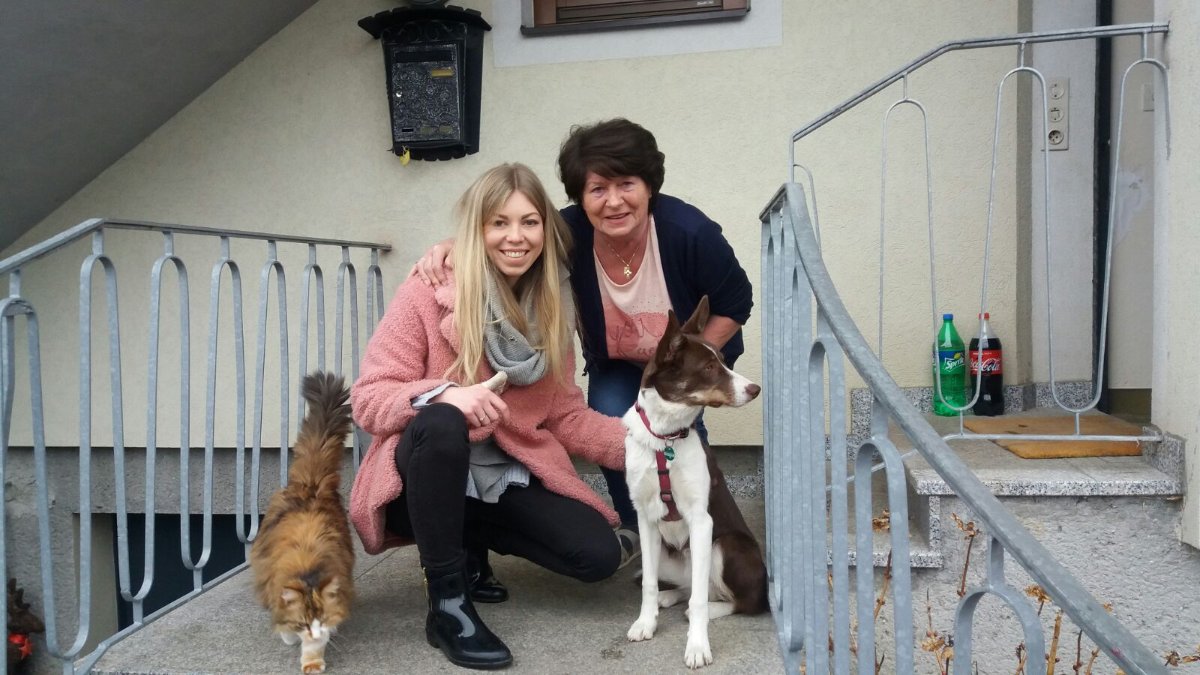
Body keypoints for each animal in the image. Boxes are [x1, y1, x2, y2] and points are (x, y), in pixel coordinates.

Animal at [250, 372, 355, 674]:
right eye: (304, 622)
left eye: (322, 620)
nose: (317, 631)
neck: (307, 567)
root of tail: (310, 485)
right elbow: (283, 622)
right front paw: (288, 636)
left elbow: (314, 646)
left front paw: (312, 662)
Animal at [623, 296, 768, 669]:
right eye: (709, 368)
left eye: (725, 361)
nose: (755, 389)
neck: (664, 439)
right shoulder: (645, 518)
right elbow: (648, 584)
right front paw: (645, 622)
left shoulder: (702, 522)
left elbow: (700, 601)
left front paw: (697, 647)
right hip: (667, 555)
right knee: (685, 585)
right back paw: (668, 597)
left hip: (725, 546)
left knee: (738, 601)